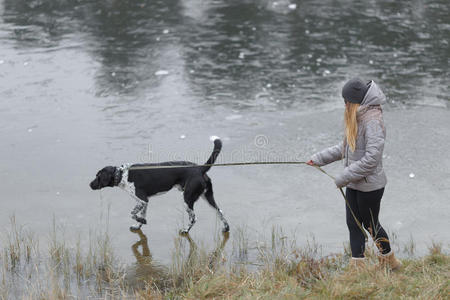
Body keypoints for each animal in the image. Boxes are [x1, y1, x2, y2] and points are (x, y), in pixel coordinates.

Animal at [89, 137, 229, 233]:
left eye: (98, 176)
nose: (90, 185)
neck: (123, 174)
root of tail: (200, 169)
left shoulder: (142, 200)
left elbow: (133, 213)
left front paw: (141, 221)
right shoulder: (144, 203)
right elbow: (141, 215)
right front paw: (139, 224)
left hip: (187, 199)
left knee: (194, 218)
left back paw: (185, 230)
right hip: (207, 197)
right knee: (220, 211)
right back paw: (226, 228)